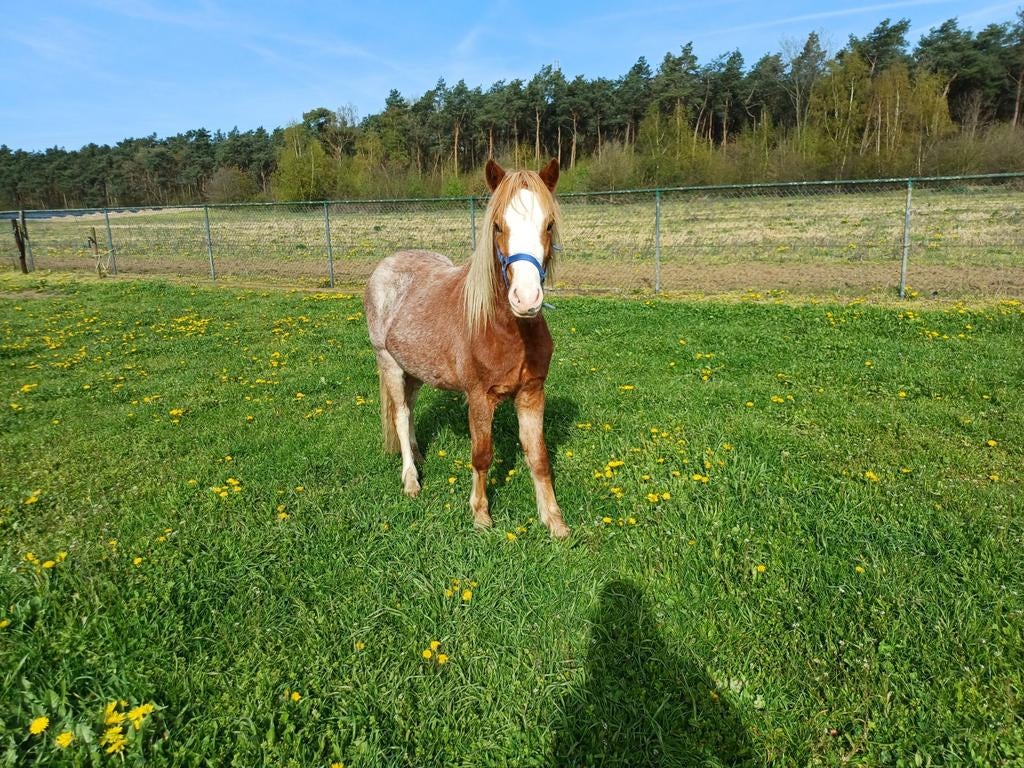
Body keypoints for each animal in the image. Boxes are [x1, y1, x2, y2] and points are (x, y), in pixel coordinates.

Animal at [364, 158, 570, 539]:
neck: (505, 329)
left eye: (548, 225)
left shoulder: (532, 393)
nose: (527, 299)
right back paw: (411, 480)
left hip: (415, 370)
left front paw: (554, 520)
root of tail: (384, 267)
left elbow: (538, 456)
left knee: (410, 411)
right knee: (400, 415)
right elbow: (482, 454)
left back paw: (418, 455)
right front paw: (480, 514)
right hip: (390, 364)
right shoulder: (479, 397)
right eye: (498, 226)